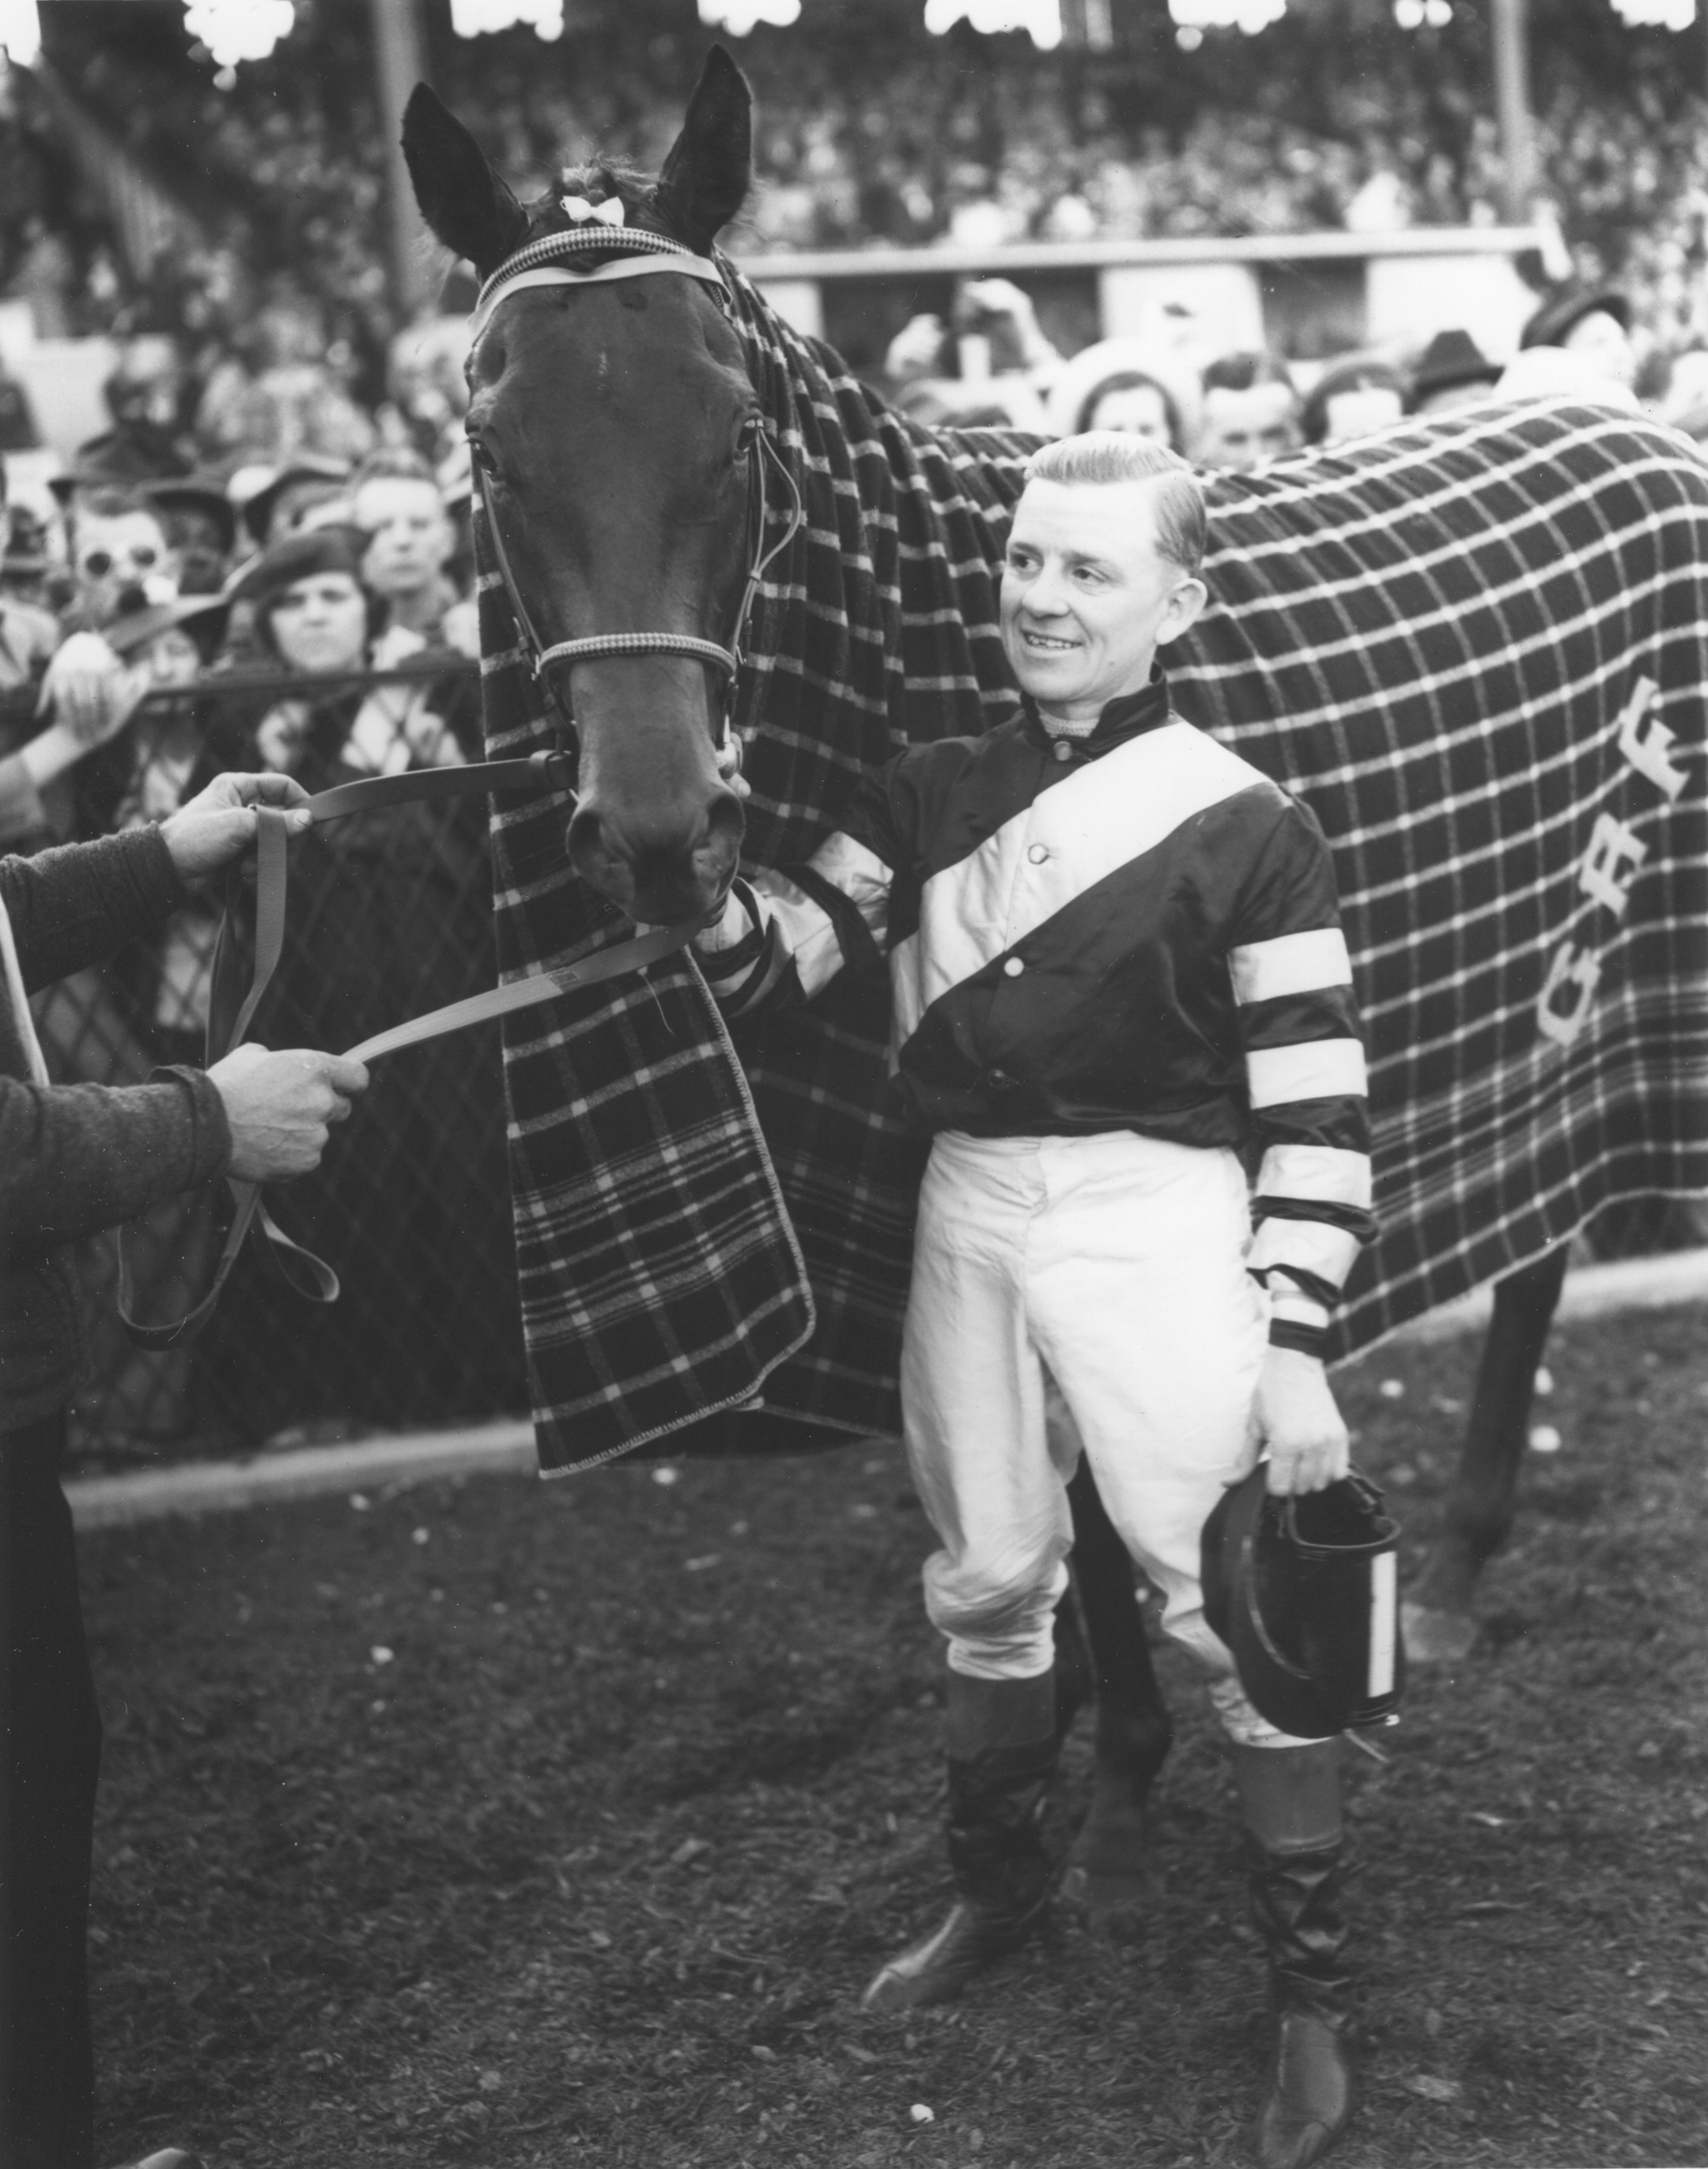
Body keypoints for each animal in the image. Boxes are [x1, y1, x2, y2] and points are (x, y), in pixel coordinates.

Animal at [401, 46, 1708, 1882]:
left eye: (736, 429)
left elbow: (1094, 1486)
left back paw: (1448, 1570)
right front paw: (1082, 1734)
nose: (658, 828)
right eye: (490, 444)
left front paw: (1123, 1767)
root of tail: (1642, 427)